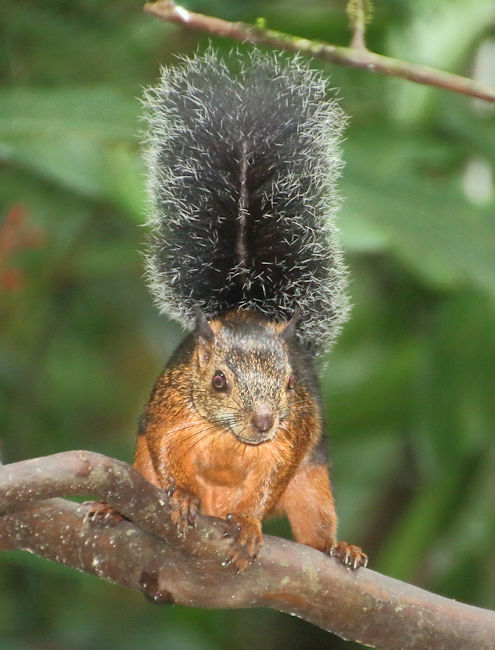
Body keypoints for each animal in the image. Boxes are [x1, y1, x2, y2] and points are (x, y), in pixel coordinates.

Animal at [88, 48, 368, 568]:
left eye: (289, 383)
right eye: (218, 380)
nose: (263, 421)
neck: (228, 436)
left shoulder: (288, 444)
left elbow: (268, 485)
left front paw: (250, 525)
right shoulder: (168, 415)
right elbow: (166, 452)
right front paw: (181, 495)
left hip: (313, 483)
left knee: (315, 525)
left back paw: (339, 548)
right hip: (139, 465)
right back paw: (112, 509)